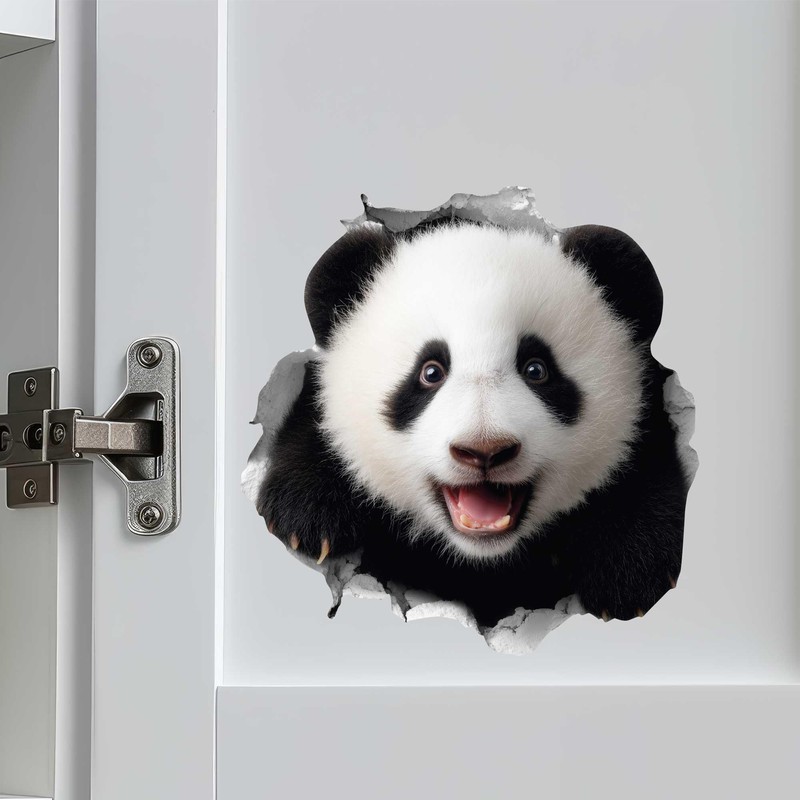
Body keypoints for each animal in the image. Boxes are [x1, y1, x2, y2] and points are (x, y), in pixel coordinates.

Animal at [258, 218, 688, 625]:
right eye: (430, 372)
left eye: (537, 369)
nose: (484, 450)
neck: (482, 560)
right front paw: (306, 514)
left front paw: (629, 572)